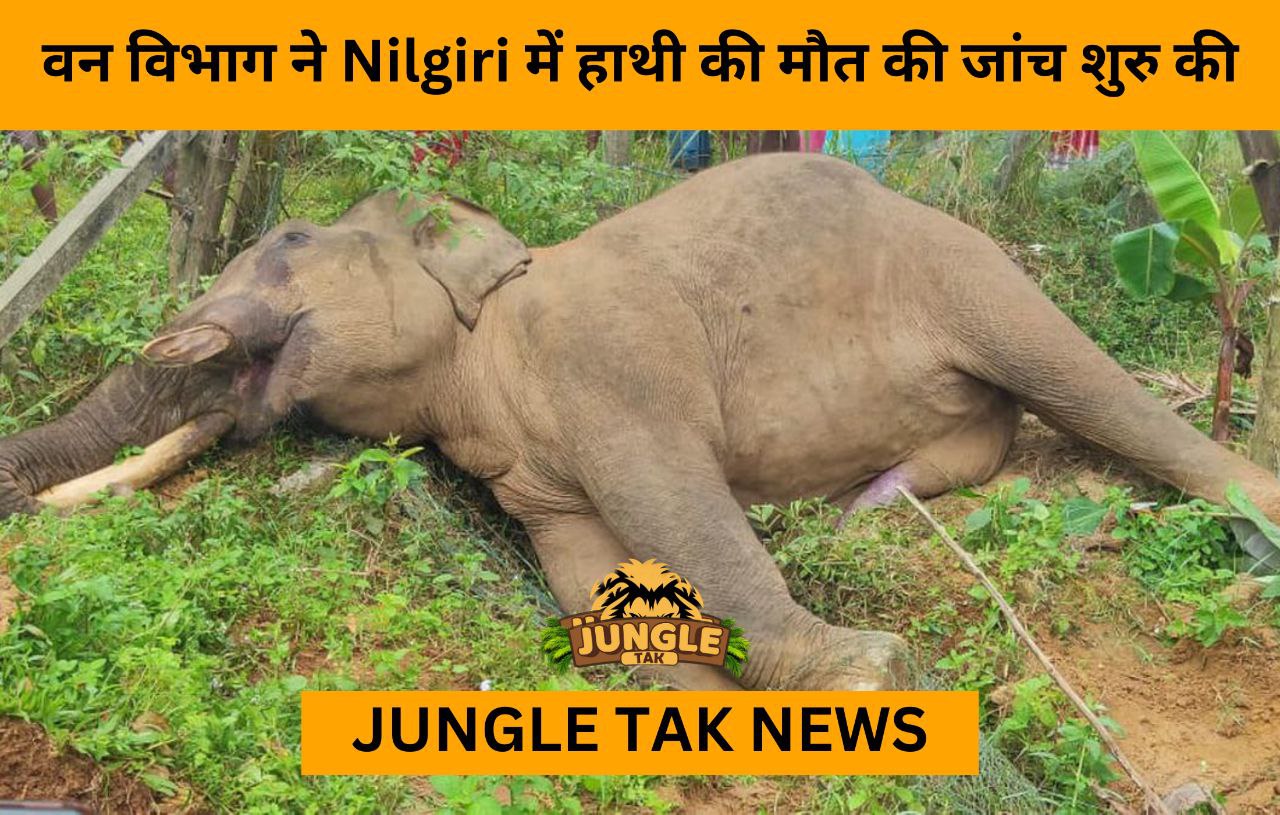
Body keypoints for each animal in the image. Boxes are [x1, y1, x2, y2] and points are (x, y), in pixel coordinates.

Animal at [3, 152, 1279, 692]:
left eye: (287, 242)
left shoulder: (606, 361)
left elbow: (677, 501)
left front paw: (864, 672)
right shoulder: (524, 474)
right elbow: (585, 570)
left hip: (974, 274)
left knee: (1086, 386)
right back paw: (862, 508)